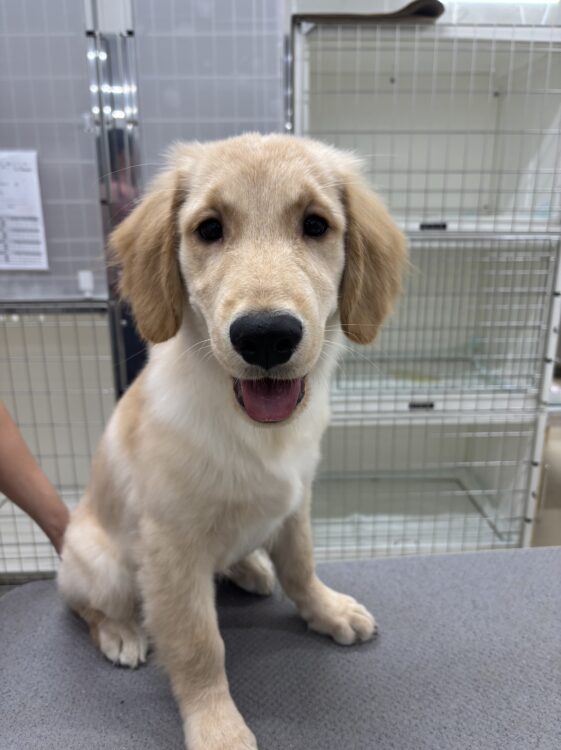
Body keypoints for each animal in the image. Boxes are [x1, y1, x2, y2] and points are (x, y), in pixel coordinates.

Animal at [58, 133, 407, 750]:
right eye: (209, 229)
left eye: (315, 225)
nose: (266, 336)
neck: (257, 431)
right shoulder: (171, 547)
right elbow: (198, 643)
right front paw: (216, 725)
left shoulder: (296, 501)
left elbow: (301, 566)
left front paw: (328, 611)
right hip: (99, 563)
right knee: (86, 605)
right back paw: (120, 632)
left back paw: (249, 569)